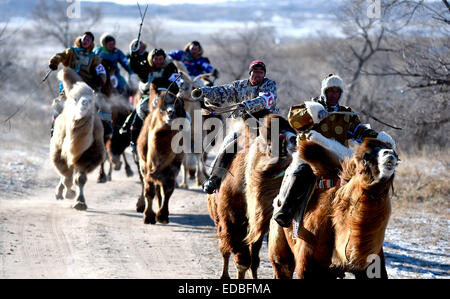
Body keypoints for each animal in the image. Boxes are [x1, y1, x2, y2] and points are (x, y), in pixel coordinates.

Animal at [50, 67, 105, 211]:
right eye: (75, 99)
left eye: (91, 100)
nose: (84, 102)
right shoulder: (59, 153)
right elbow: (66, 177)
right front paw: (69, 193)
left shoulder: (88, 156)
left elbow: (80, 178)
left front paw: (80, 202)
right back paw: (60, 192)